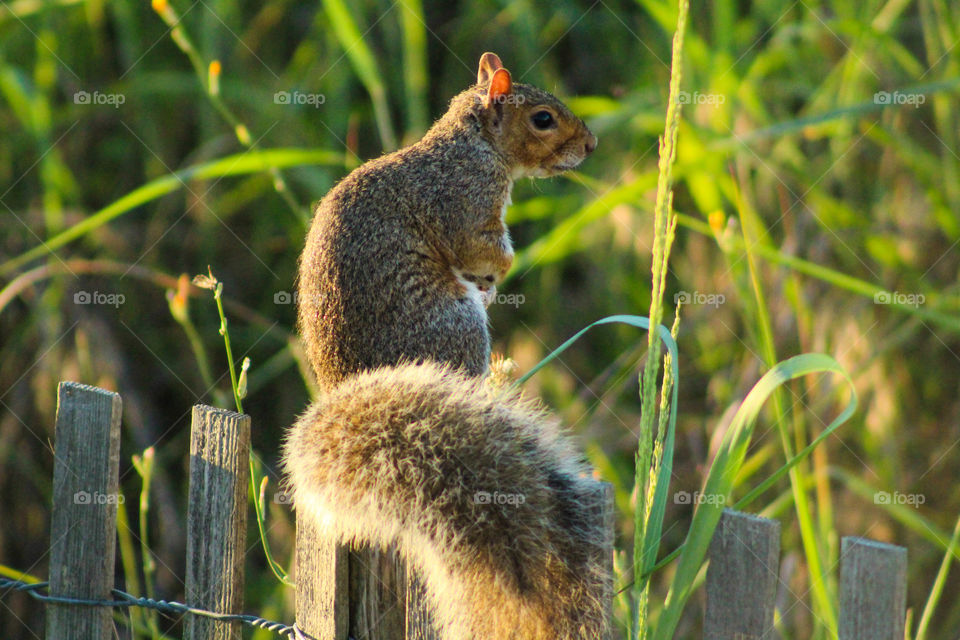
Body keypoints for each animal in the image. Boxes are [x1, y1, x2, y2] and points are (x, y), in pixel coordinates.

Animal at [284, 53, 606, 639]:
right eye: (543, 119)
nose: (591, 145)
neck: (471, 143)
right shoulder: (466, 205)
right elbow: (483, 249)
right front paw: (497, 275)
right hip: (460, 329)